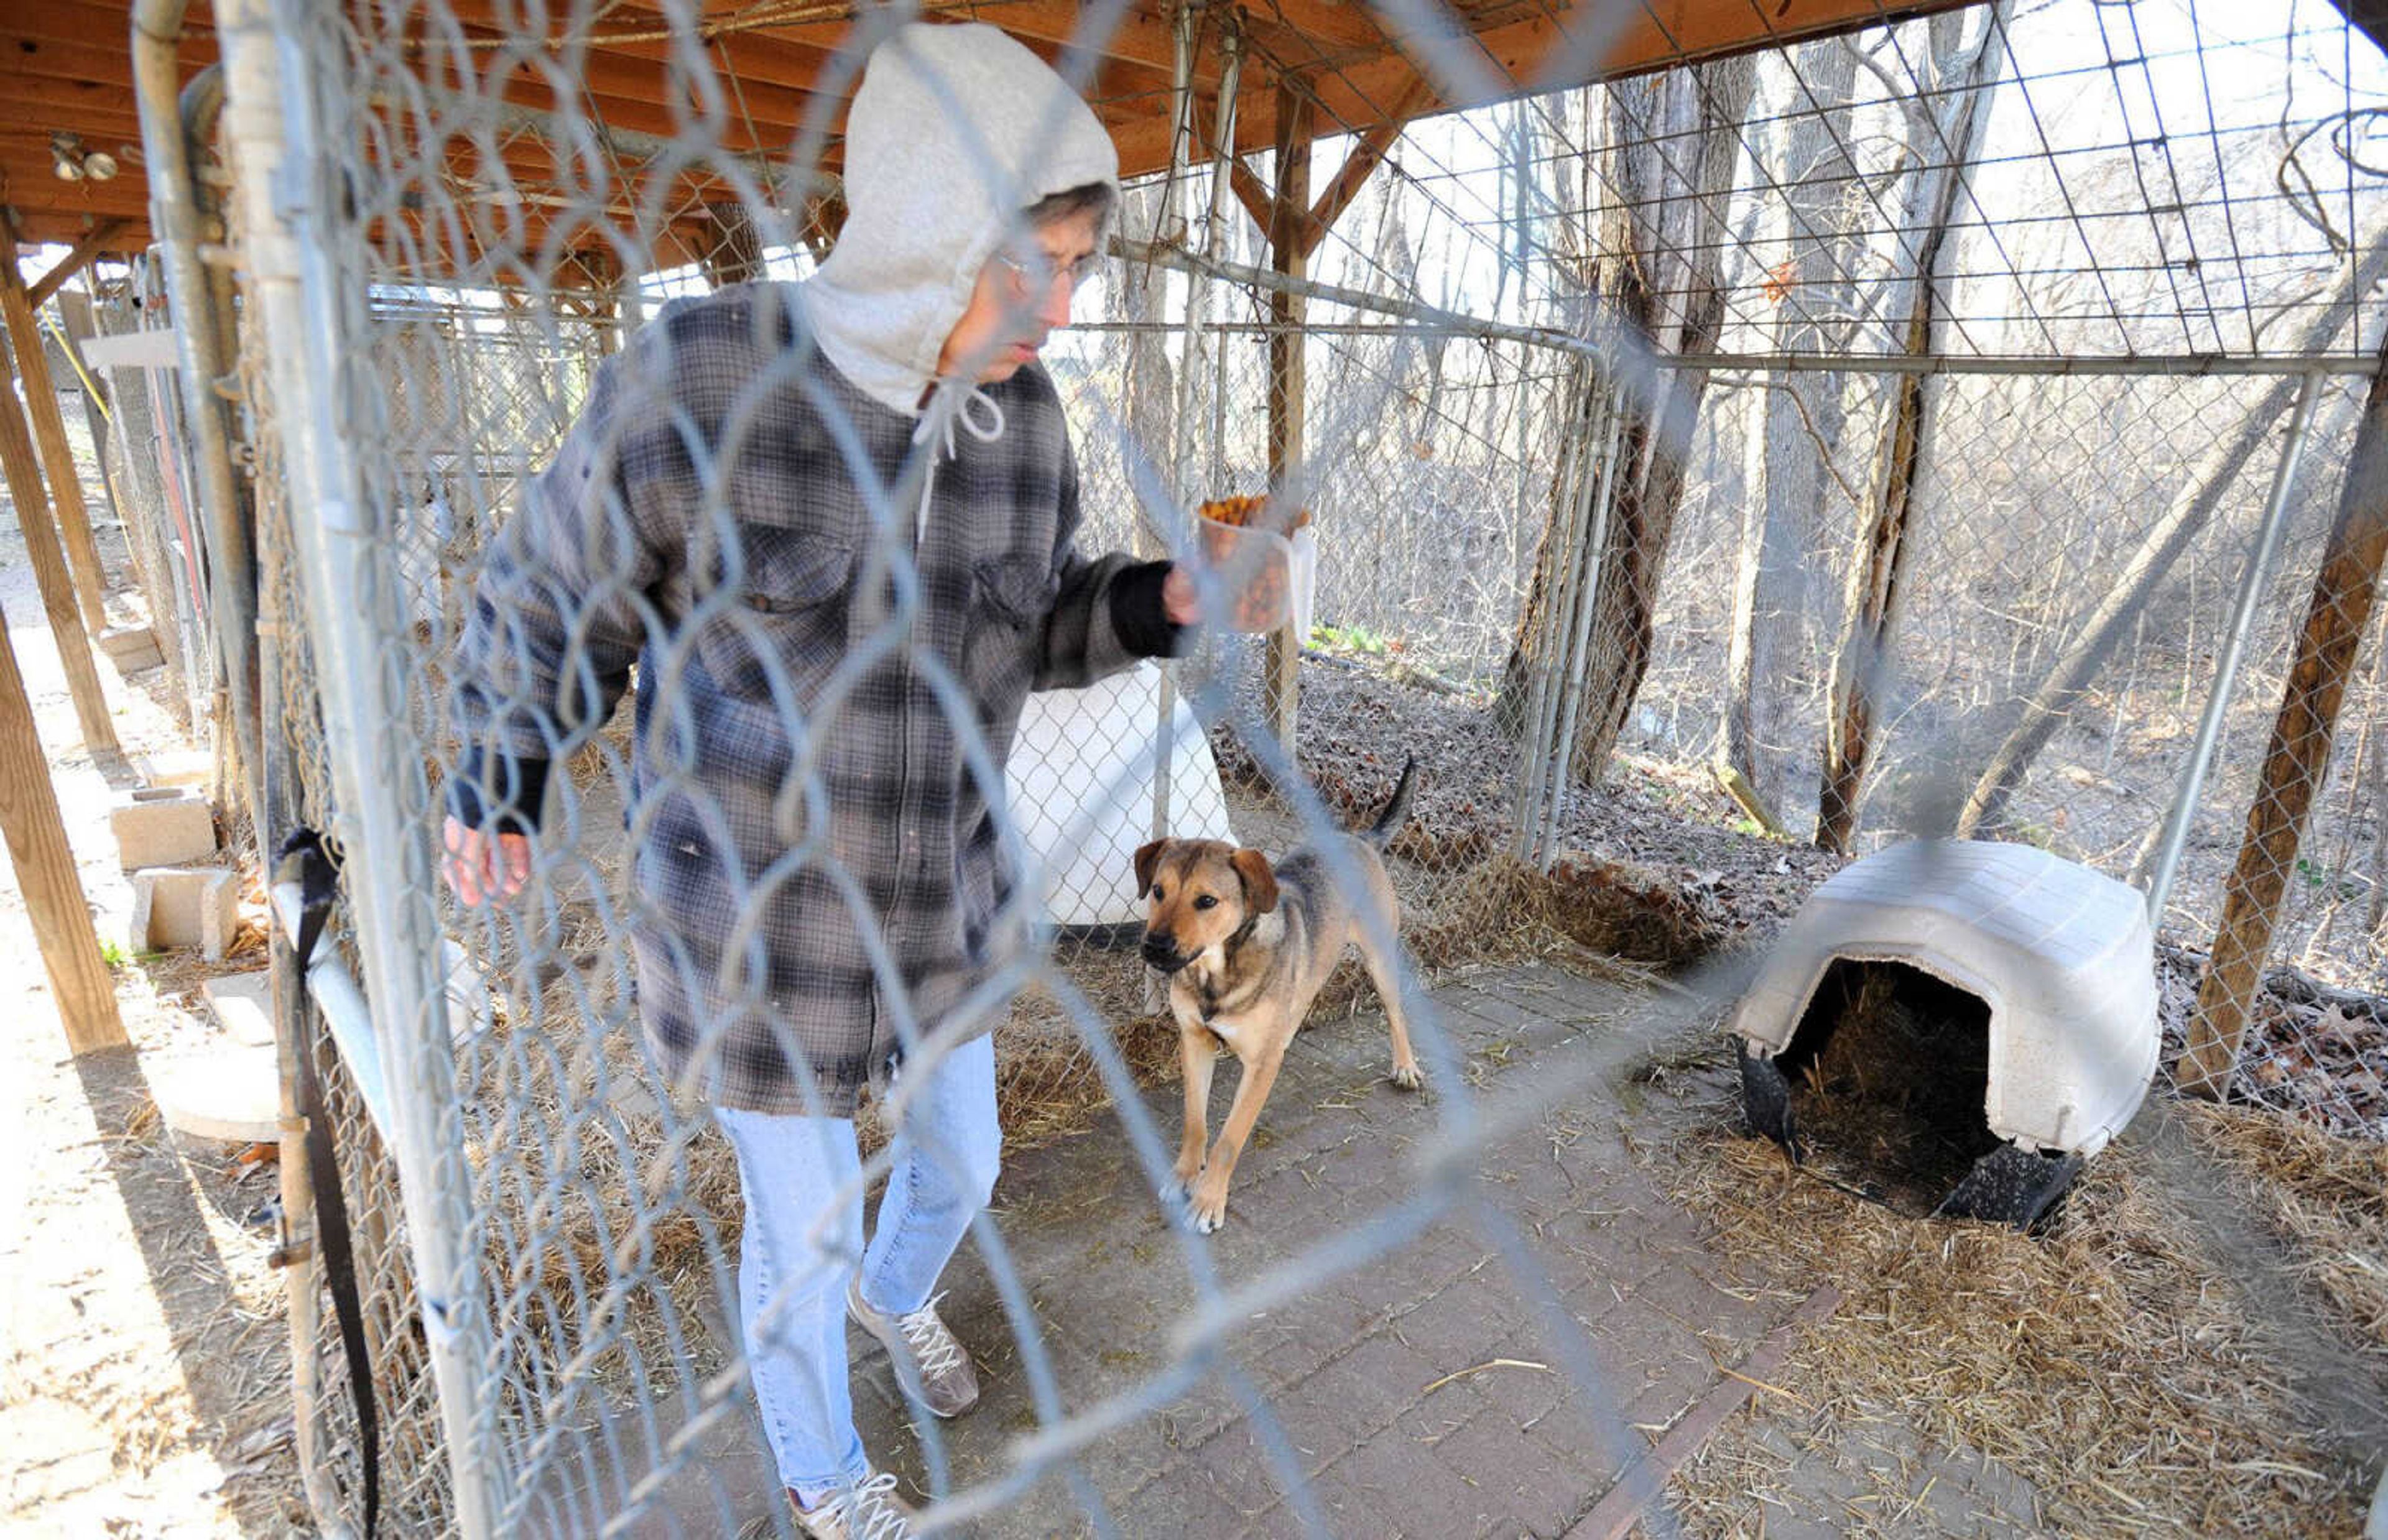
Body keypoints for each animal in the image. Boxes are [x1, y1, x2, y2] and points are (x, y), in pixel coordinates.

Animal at [1132, 759, 1423, 1241]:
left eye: (1206, 901)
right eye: (1158, 891)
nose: (1153, 947)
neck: (1217, 971)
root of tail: (1360, 839)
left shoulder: (1259, 1064)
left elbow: (1229, 1138)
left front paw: (1209, 1201)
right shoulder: (1195, 1041)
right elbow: (1195, 1123)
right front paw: (1185, 1174)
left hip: (1380, 957)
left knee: (1397, 1012)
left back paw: (1405, 1066)